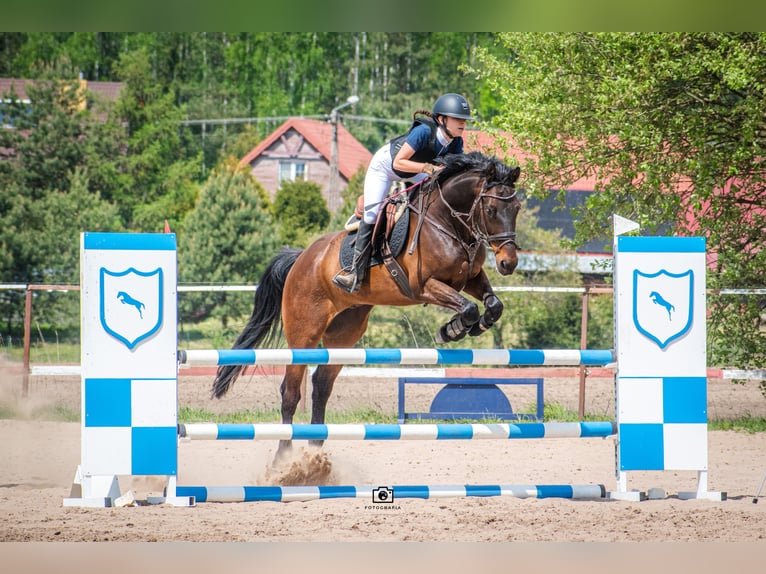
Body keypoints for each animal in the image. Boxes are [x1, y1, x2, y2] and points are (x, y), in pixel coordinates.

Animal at [213, 151, 524, 462]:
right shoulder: (424, 286)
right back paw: (285, 457)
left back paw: (315, 452)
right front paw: (452, 330)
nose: (508, 263)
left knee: (321, 386)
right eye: (492, 210)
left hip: (344, 334)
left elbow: (493, 304)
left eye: (517, 208)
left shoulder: (469, 278)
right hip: (304, 334)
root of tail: (302, 258)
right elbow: (468, 308)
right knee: (290, 392)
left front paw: (472, 326)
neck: (447, 222)